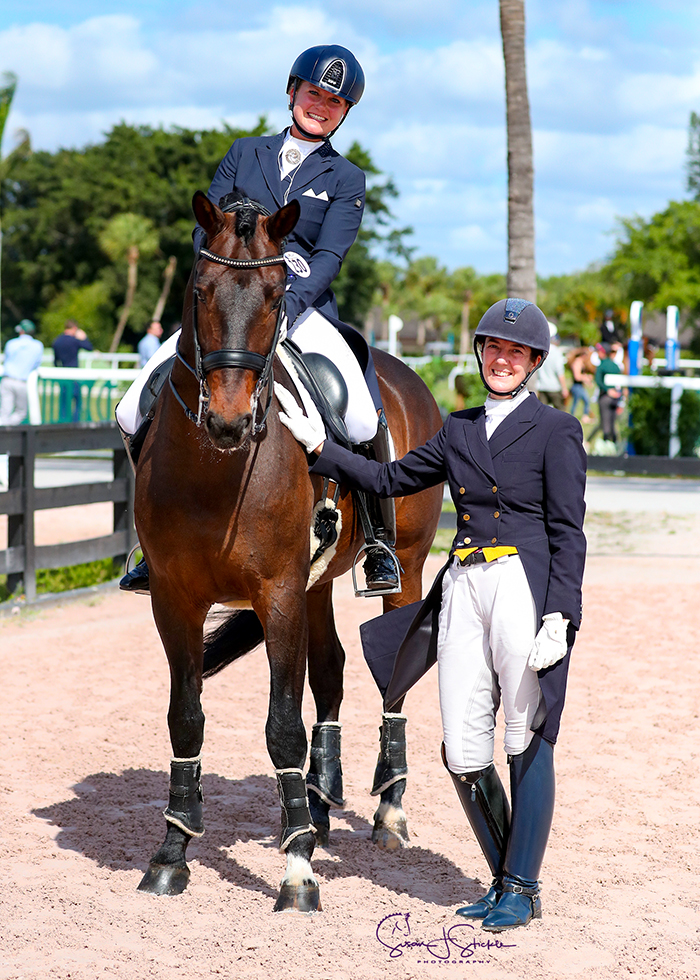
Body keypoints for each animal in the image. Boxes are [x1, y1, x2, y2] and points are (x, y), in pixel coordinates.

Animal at [133, 191, 442, 912]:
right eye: (199, 288)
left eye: (277, 295)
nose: (226, 419)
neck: (216, 472)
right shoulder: (175, 600)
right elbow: (186, 717)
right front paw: (172, 854)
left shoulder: (275, 592)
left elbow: (281, 725)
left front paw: (296, 871)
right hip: (315, 586)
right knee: (329, 673)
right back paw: (319, 810)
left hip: (406, 569)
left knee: (394, 672)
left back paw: (387, 812)